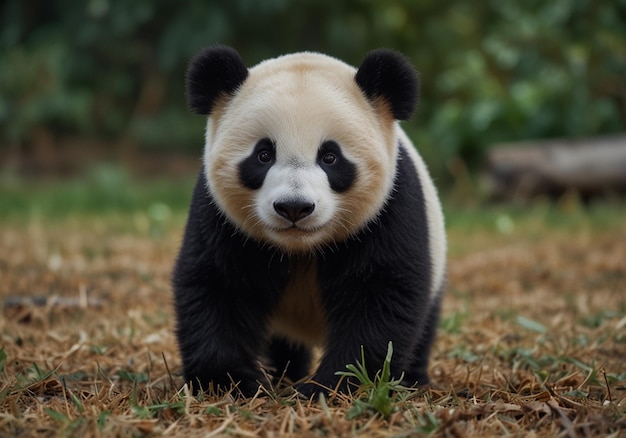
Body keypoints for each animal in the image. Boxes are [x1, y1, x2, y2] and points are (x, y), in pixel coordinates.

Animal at [171, 44, 444, 396]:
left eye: (330, 157)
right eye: (263, 154)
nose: (294, 208)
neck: (301, 248)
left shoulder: (390, 209)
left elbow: (382, 294)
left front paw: (331, 386)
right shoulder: (219, 217)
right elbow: (218, 285)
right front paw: (230, 382)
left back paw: (412, 380)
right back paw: (284, 372)